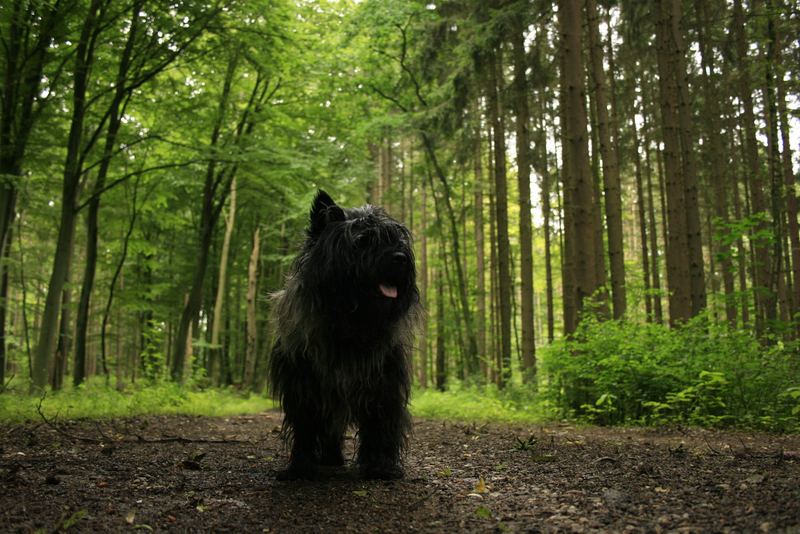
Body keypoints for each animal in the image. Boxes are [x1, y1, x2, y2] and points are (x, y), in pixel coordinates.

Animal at [268, 192, 418, 482]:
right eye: (362, 240)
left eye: (397, 238)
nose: (400, 258)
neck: (351, 322)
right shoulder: (303, 382)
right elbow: (304, 426)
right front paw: (300, 467)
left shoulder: (384, 382)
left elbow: (381, 425)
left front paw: (381, 467)